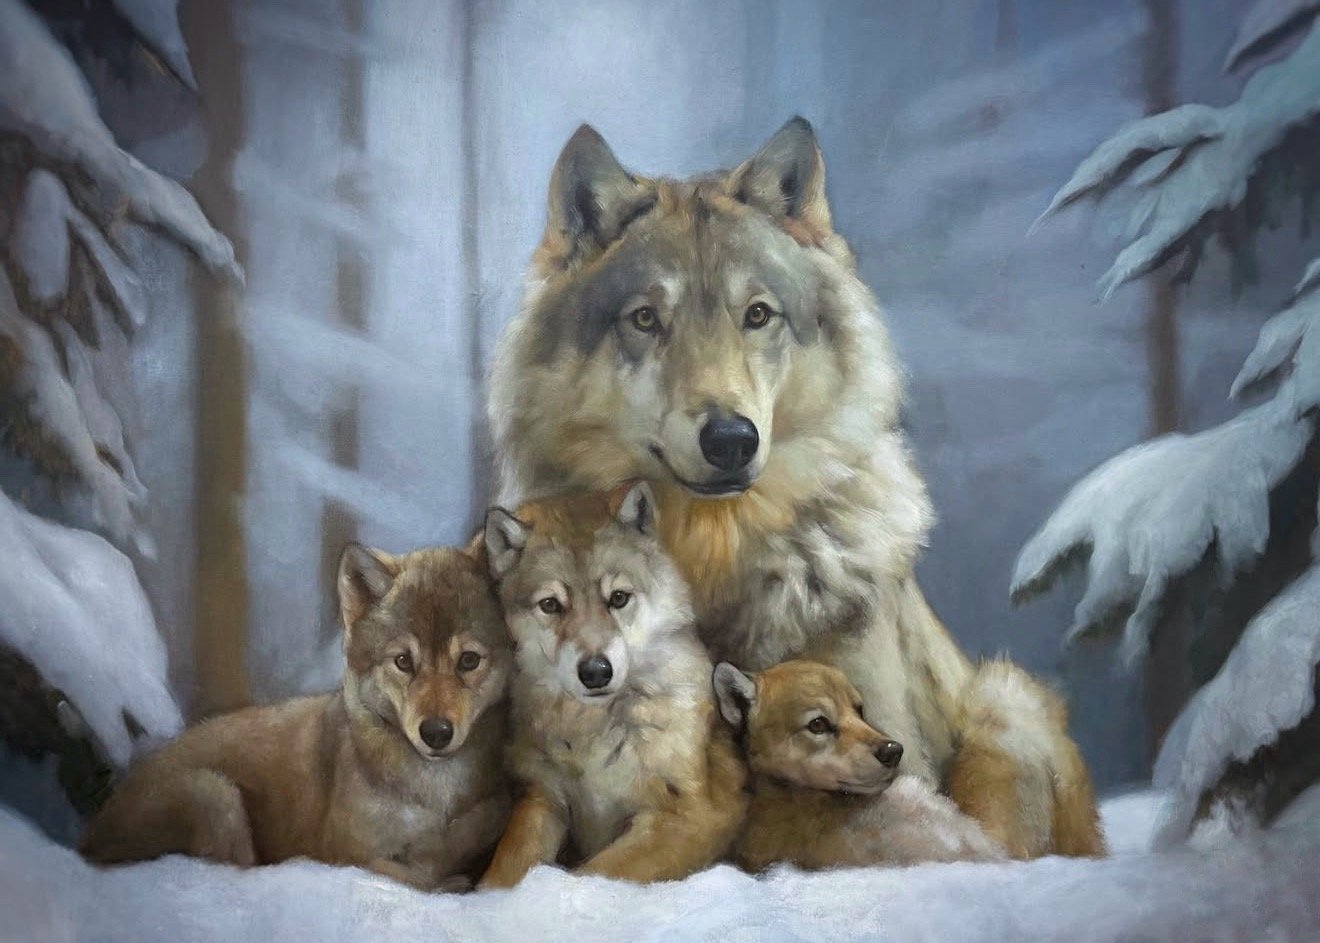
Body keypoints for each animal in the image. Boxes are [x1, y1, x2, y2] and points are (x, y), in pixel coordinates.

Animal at [80, 544, 511, 889]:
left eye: (468, 660)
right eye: (404, 661)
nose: (436, 732)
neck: (437, 795)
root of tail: (88, 840)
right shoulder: (344, 853)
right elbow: (412, 875)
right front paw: (447, 880)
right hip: (215, 794)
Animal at [477, 481, 746, 887]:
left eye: (618, 598)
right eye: (551, 605)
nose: (595, 672)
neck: (593, 728)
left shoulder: (692, 816)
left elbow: (594, 874)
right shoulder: (543, 797)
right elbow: (507, 867)